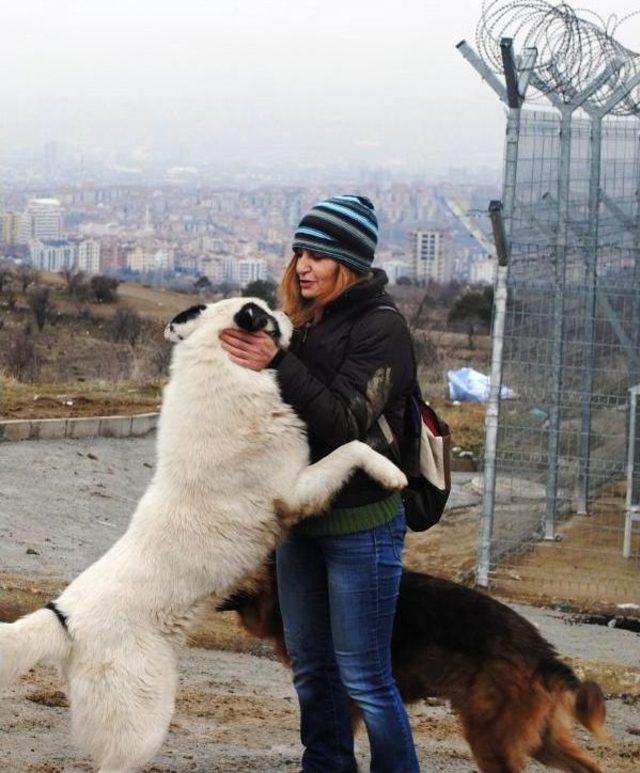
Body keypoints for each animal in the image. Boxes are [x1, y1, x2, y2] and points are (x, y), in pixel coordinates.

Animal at [0, 298, 408, 772]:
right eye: (265, 313)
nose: (288, 314)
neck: (220, 369)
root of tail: (64, 616)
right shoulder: (294, 491)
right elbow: (352, 448)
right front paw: (393, 474)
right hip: (144, 717)